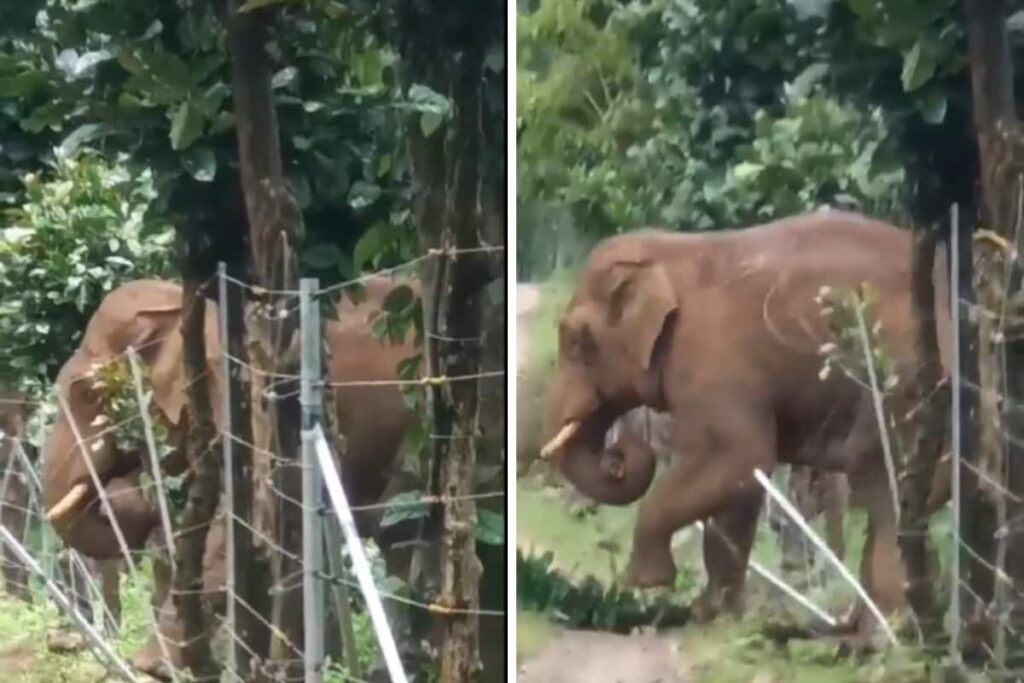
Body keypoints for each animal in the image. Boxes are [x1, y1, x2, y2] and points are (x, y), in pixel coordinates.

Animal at [539, 210, 952, 637]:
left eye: (578, 343)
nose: (617, 456)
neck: (671, 251)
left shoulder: (712, 361)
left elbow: (737, 459)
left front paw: (647, 582)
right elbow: (740, 489)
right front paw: (714, 618)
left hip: (902, 387)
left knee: (884, 490)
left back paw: (881, 631)